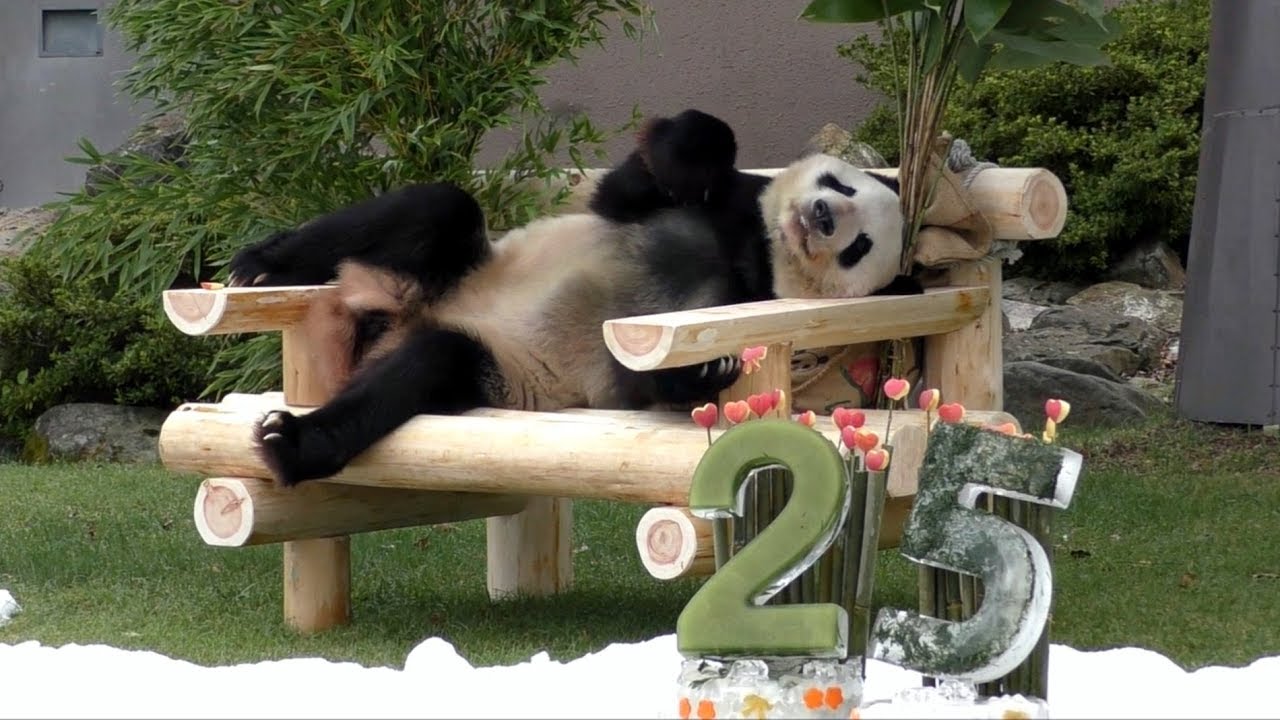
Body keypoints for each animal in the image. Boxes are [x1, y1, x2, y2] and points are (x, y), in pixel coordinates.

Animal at [226, 112, 916, 488]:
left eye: (859, 247)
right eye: (841, 184)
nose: (822, 216)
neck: (760, 251)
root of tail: (398, 320)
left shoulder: (738, 299)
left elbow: (643, 374)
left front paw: (707, 370)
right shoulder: (706, 208)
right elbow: (631, 187)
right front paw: (688, 151)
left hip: (497, 372)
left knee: (429, 364)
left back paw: (295, 443)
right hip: (454, 267)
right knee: (438, 206)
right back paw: (261, 267)